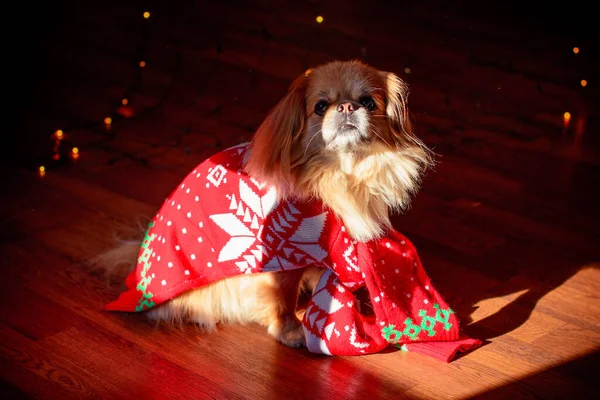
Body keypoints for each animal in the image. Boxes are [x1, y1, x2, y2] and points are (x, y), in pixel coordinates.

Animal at [94, 58, 432, 346]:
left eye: (369, 102)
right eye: (321, 106)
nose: (347, 106)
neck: (338, 174)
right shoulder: (281, 261)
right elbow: (282, 298)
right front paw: (290, 330)